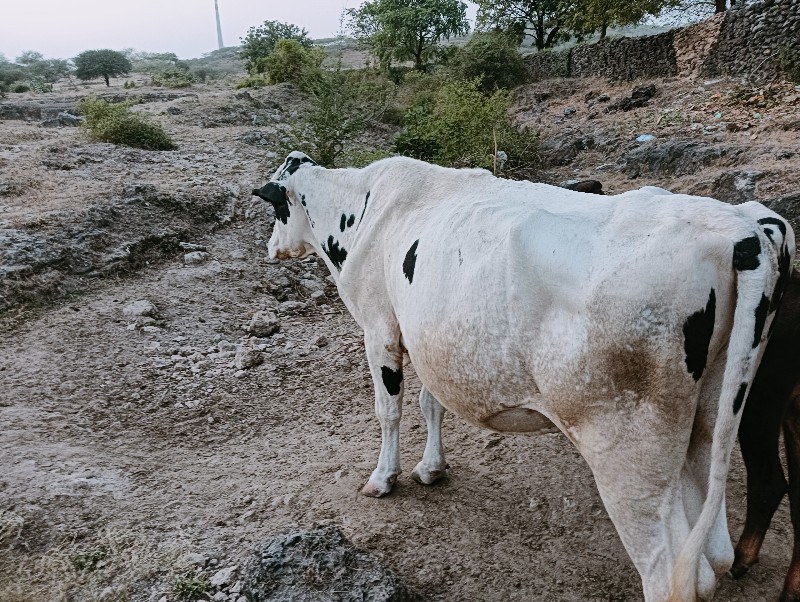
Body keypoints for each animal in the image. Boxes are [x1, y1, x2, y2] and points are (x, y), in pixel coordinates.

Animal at [253, 151, 792, 600]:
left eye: (276, 209)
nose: (270, 249)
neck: (362, 208)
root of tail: (739, 230)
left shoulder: (380, 328)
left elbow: (389, 409)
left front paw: (384, 478)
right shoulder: (429, 334)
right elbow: (431, 403)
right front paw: (432, 467)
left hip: (629, 449)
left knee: (669, 575)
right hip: (708, 421)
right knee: (710, 556)